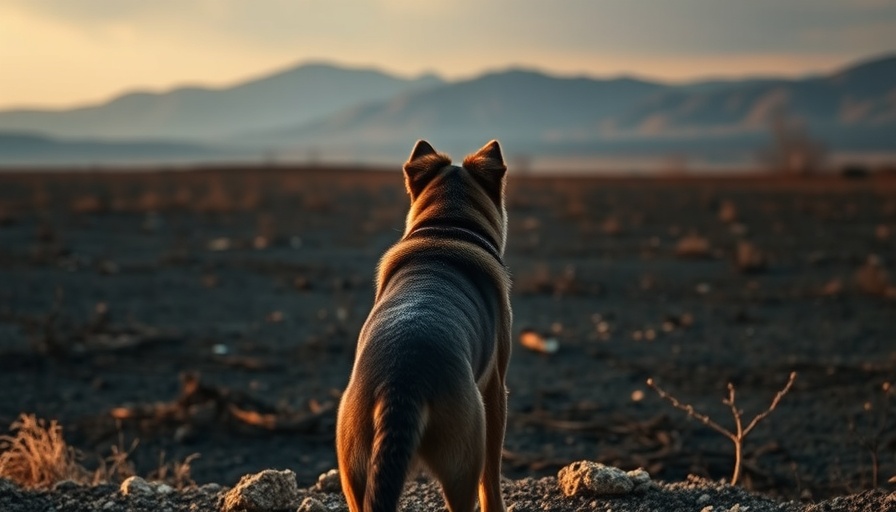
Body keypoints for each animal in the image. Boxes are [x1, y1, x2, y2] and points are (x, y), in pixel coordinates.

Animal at [336, 140, 516, 512]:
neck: (446, 227)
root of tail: (400, 384)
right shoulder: (495, 389)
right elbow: (491, 478)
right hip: (463, 455)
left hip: (354, 465)